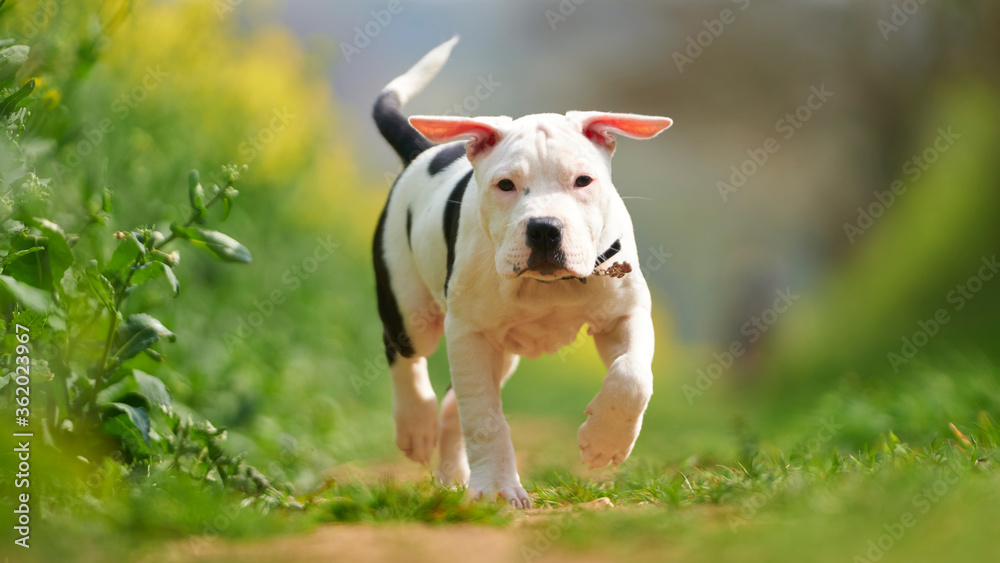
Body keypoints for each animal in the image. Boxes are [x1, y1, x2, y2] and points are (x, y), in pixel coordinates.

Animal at [370, 37, 672, 508]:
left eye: (583, 181)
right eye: (506, 185)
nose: (544, 229)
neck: (546, 286)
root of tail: (423, 151)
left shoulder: (626, 314)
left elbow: (632, 376)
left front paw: (605, 441)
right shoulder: (469, 333)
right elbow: (486, 418)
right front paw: (497, 488)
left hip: (502, 351)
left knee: (453, 404)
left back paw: (452, 478)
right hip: (412, 307)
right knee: (405, 352)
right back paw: (416, 424)